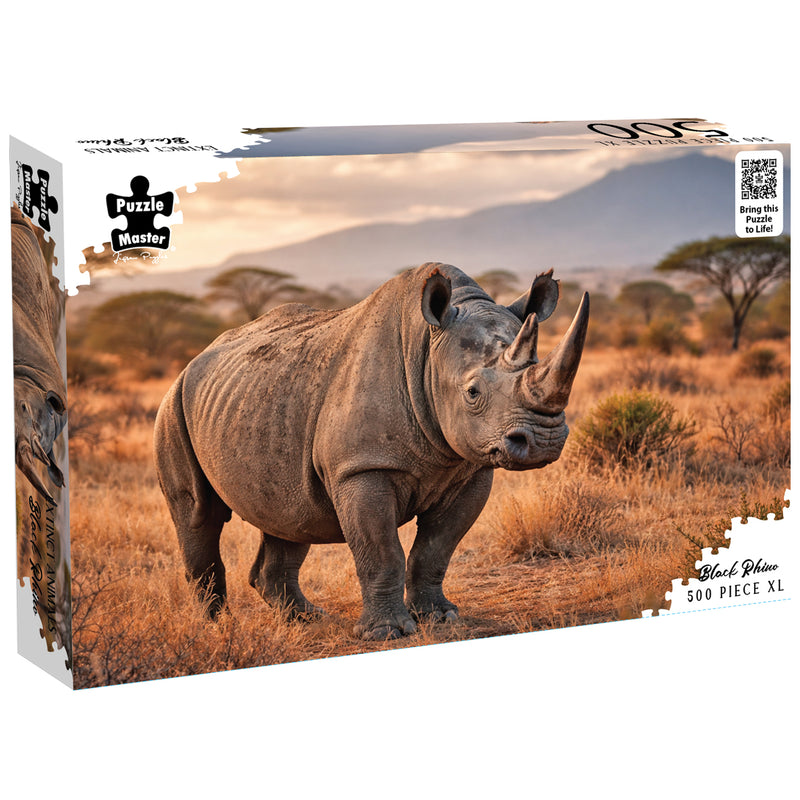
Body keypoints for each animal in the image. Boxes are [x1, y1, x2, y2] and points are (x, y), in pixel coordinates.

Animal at [154, 262, 589, 640]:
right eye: (472, 392)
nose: (545, 440)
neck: (428, 350)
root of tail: (193, 361)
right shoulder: (361, 468)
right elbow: (382, 551)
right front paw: (387, 633)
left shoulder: (470, 468)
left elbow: (436, 549)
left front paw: (440, 618)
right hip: (173, 407)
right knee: (198, 514)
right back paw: (217, 627)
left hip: (262, 401)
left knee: (290, 513)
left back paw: (309, 620)